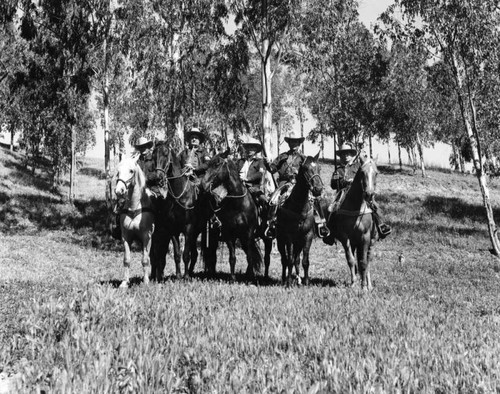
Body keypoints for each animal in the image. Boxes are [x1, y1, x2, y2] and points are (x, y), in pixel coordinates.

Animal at [115, 155, 154, 288]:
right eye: (118, 171)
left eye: (131, 171)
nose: (119, 190)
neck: (134, 207)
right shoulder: (126, 237)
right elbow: (126, 259)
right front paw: (124, 282)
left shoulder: (146, 237)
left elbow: (145, 260)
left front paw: (146, 281)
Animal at [199, 149, 264, 282]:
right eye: (208, 165)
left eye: (217, 164)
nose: (203, 185)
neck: (239, 205)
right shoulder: (229, 234)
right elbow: (232, 257)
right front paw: (233, 278)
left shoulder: (248, 234)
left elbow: (250, 256)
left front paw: (250, 277)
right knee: (212, 255)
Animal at [276, 153, 322, 286]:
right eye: (306, 168)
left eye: (319, 168)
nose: (318, 189)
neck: (299, 207)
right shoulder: (289, 238)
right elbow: (289, 260)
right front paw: (288, 283)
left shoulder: (307, 236)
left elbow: (305, 261)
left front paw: (306, 282)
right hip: (280, 240)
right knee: (285, 259)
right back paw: (284, 279)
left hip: (299, 243)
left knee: (296, 259)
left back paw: (298, 279)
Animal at [326, 158, 376, 290]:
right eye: (362, 173)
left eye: (376, 173)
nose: (369, 194)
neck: (355, 207)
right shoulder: (345, 237)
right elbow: (351, 260)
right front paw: (354, 282)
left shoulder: (365, 237)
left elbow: (363, 262)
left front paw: (364, 286)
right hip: (354, 243)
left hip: (369, 241)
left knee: (367, 260)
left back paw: (369, 284)